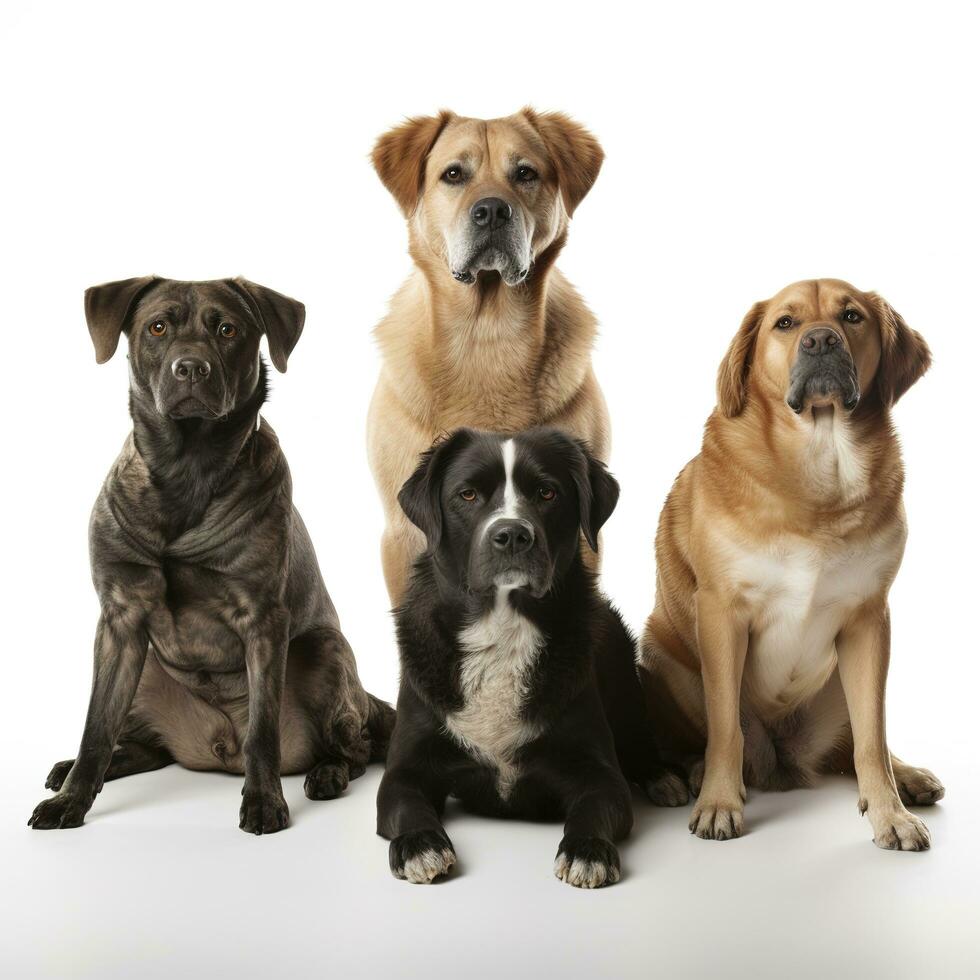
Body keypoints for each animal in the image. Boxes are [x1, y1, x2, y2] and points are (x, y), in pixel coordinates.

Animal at [29, 276, 390, 836]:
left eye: (228, 330)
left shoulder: (263, 620)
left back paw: (328, 773)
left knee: (357, 748)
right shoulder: (119, 618)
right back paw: (80, 768)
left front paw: (264, 802)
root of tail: (217, 749)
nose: (191, 368)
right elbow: (95, 727)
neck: (187, 469)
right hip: (144, 667)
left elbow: (263, 731)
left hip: (323, 651)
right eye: (157, 327)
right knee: (142, 747)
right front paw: (72, 798)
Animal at [378, 428, 688, 888]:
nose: (511, 535)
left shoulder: (598, 773)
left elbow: (594, 808)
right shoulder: (404, 770)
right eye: (467, 494)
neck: (502, 629)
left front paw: (587, 851)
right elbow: (405, 805)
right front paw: (420, 845)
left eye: (547, 492)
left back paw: (662, 777)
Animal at [640, 278, 944, 848]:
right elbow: (725, 730)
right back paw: (688, 775)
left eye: (851, 316)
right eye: (785, 322)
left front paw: (889, 813)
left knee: (859, 739)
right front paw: (718, 801)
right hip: (666, 660)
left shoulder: (869, 620)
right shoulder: (722, 614)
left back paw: (909, 777)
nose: (821, 340)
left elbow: (871, 738)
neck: (821, 462)